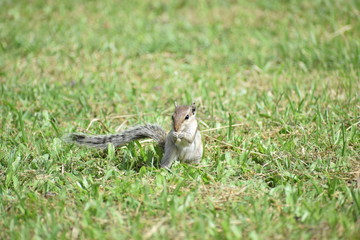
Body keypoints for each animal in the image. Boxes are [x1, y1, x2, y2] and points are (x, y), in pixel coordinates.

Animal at [64, 102, 202, 168]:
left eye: (187, 117)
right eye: (172, 117)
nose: (176, 128)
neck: (184, 128)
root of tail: (181, 161)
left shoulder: (194, 130)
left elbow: (189, 139)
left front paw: (181, 135)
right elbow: (172, 138)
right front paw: (174, 135)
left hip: (196, 155)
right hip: (170, 153)